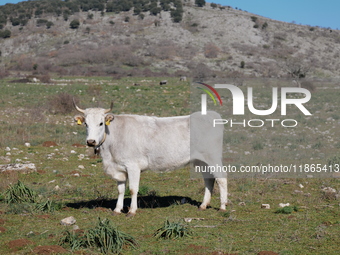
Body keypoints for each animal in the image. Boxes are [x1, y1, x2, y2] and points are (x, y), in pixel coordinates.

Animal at [74, 100, 228, 216]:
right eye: (86, 124)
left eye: (101, 123)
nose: (91, 141)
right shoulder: (118, 167)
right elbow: (121, 189)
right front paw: (117, 209)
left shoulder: (133, 166)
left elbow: (133, 189)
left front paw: (132, 211)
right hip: (201, 161)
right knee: (209, 179)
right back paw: (203, 205)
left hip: (213, 157)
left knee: (221, 178)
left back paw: (222, 206)